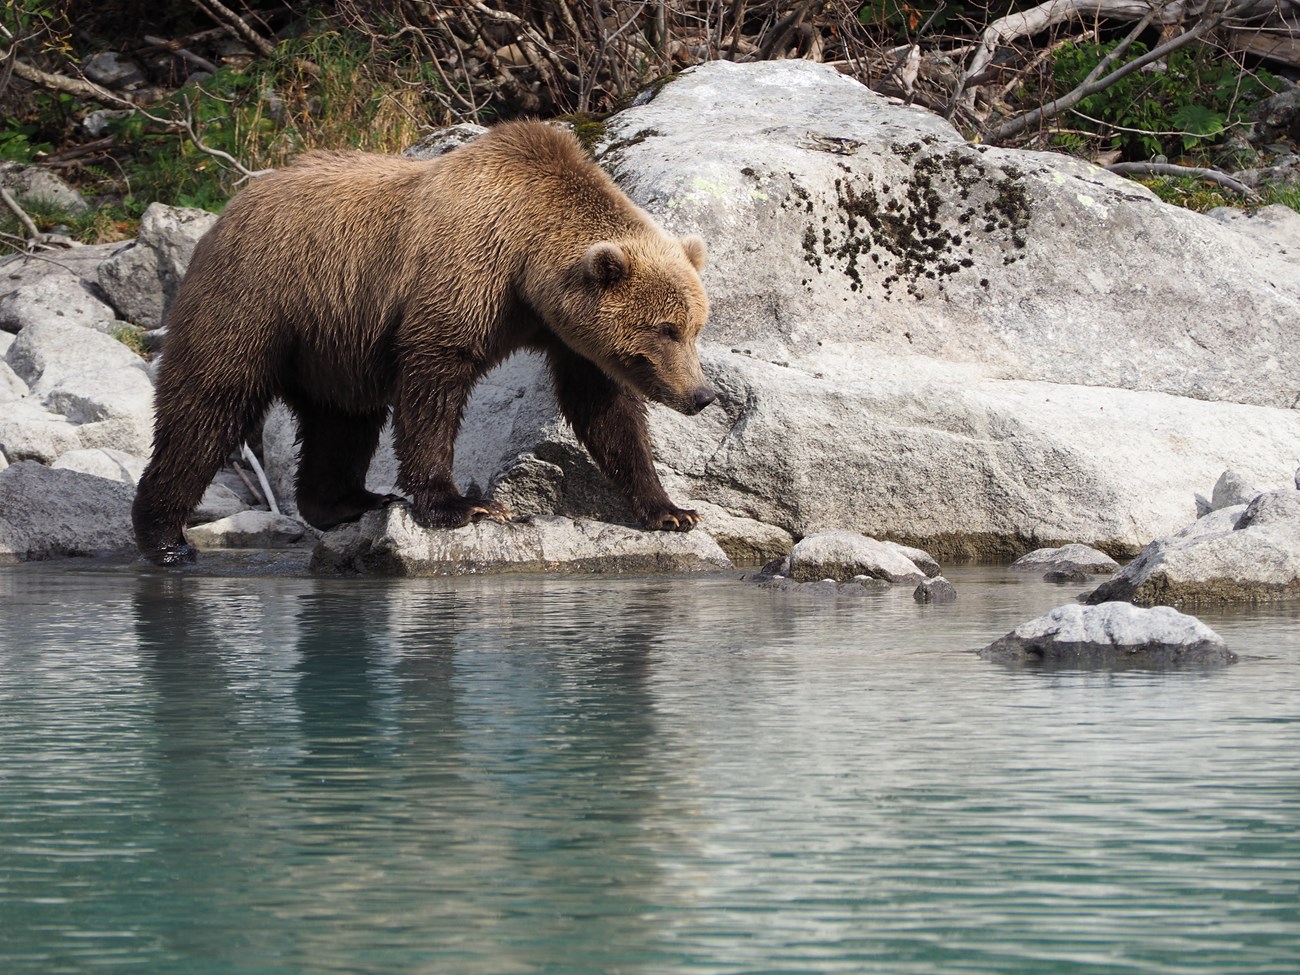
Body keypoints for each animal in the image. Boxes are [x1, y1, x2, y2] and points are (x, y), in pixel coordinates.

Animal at [135, 119, 717, 569]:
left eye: (694, 327)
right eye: (666, 328)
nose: (701, 395)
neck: (527, 267)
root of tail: (227, 209)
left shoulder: (567, 335)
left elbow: (605, 411)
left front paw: (672, 510)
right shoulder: (462, 277)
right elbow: (434, 383)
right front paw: (462, 505)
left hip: (332, 342)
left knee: (342, 420)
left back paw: (349, 501)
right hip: (258, 301)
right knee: (209, 407)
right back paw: (165, 538)